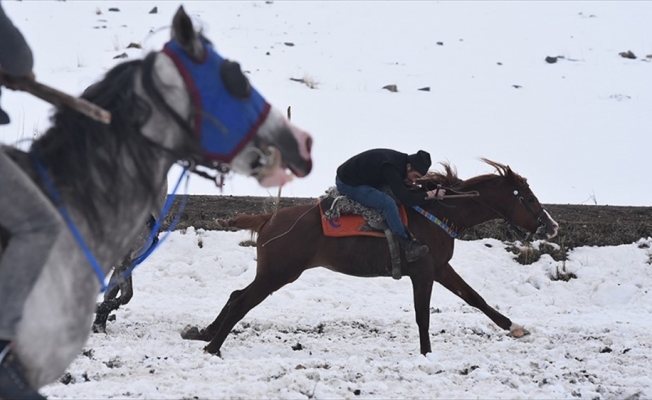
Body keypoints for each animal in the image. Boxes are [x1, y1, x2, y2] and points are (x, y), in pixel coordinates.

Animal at [0, 5, 314, 394]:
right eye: (233, 82)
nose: (294, 147)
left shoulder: (129, 255)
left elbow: (124, 293)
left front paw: (104, 314)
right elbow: (118, 292)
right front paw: (102, 315)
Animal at [182, 158, 560, 354]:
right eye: (528, 198)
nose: (552, 226)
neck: (435, 212)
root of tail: (268, 218)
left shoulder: (440, 268)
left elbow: (475, 298)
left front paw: (515, 327)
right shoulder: (423, 271)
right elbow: (423, 315)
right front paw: (426, 353)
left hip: (273, 273)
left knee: (236, 296)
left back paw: (203, 333)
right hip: (278, 273)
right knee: (243, 301)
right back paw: (213, 345)